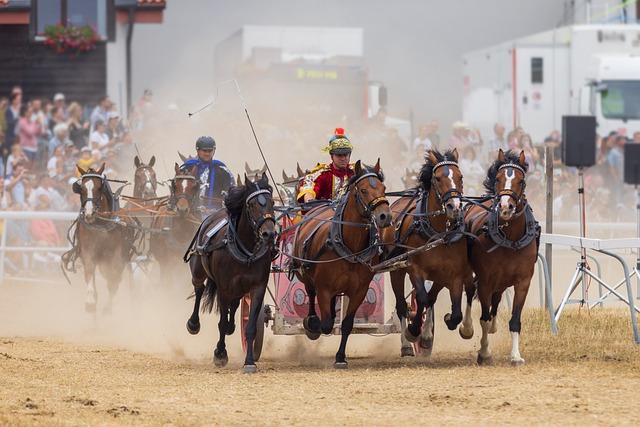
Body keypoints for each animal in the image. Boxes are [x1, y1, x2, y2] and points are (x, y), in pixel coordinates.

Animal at [63, 166, 137, 314]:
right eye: (81, 188)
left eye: (99, 188)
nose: (89, 213)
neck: (101, 226)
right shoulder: (87, 252)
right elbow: (89, 272)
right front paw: (90, 302)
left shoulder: (116, 256)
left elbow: (114, 280)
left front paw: (107, 308)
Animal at [184, 172, 276, 372]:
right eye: (252, 204)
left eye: (272, 202)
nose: (269, 233)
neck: (244, 249)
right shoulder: (224, 288)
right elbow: (221, 322)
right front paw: (220, 353)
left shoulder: (258, 287)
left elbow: (250, 326)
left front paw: (249, 361)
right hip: (198, 270)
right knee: (199, 289)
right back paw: (193, 324)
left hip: (240, 288)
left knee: (234, 305)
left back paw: (231, 327)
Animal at [292, 160, 392, 368]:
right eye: (363, 190)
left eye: (383, 188)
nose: (385, 216)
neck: (349, 247)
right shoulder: (324, 288)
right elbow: (326, 324)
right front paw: (313, 326)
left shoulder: (360, 291)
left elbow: (346, 324)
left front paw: (340, 357)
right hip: (305, 273)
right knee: (311, 294)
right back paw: (311, 322)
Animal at [382, 150, 472, 358]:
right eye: (438, 178)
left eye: (460, 176)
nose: (455, 207)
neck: (436, 231)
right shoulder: (415, 270)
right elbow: (421, 299)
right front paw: (414, 331)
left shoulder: (452, 273)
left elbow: (452, 311)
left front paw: (432, 331)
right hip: (396, 270)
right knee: (401, 305)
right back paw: (407, 344)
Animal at [458, 149, 544, 366]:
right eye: (498, 178)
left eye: (521, 181)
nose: (506, 207)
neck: (510, 238)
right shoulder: (486, 280)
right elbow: (484, 318)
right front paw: (484, 352)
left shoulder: (523, 282)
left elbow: (514, 320)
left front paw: (516, 355)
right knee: (470, 292)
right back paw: (467, 327)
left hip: (502, 280)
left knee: (496, 300)